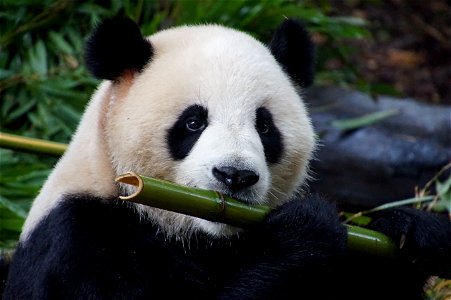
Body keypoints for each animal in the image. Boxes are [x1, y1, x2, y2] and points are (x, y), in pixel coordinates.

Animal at [3, 17, 451, 300]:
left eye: (265, 126)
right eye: (193, 122)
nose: (235, 176)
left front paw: (414, 231)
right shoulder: (84, 244)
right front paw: (306, 230)